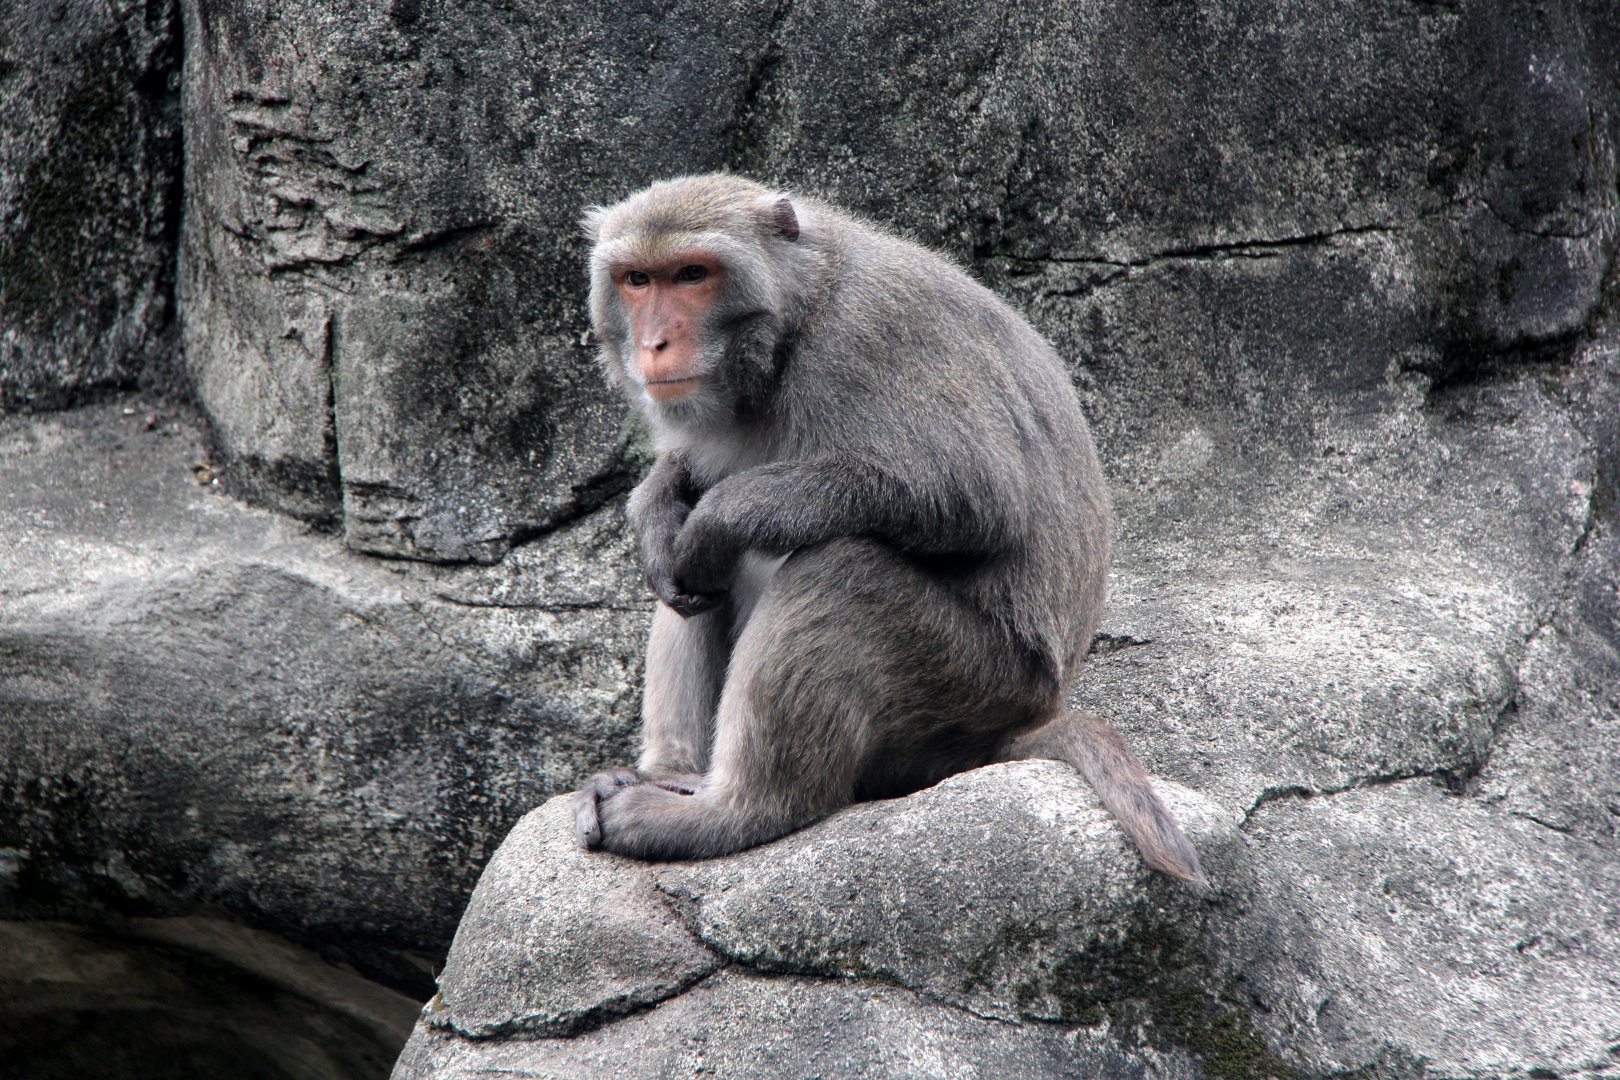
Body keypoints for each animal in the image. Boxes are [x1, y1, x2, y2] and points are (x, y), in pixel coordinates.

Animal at [570, 174, 1206, 888]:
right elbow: (684, 512)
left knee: (843, 571)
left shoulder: (869, 336)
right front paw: (655, 508)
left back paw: (734, 811)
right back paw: (672, 776)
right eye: (636, 280)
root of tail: (1022, 721)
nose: (653, 344)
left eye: (692, 274)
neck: (793, 324)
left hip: (975, 684)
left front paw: (715, 520)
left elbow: (973, 495)